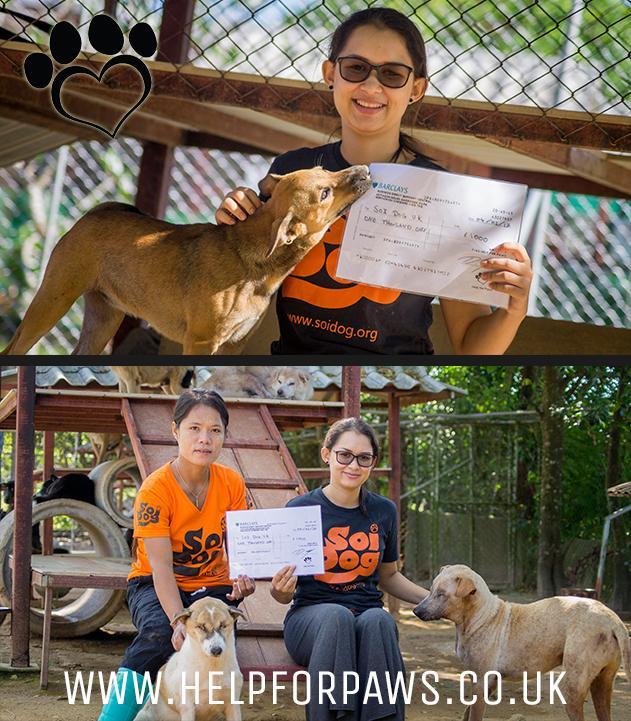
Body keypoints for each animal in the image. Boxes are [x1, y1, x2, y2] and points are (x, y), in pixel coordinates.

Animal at [2, 164, 370, 354]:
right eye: (325, 192)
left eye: (325, 167)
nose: (365, 170)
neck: (250, 261)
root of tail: (97, 211)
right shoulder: (201, 341)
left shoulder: (233, 345)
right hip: (52, 301)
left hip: (103, 318)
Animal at [414, 564, 631, 720]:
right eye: (430, 590)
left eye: (441, 594)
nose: (416, 610)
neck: (482, 617)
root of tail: (613, 619)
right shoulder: (486, 682)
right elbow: (467, 712)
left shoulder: (482, 681)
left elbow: (473, 714)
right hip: (602, 683)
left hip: (573, 686)